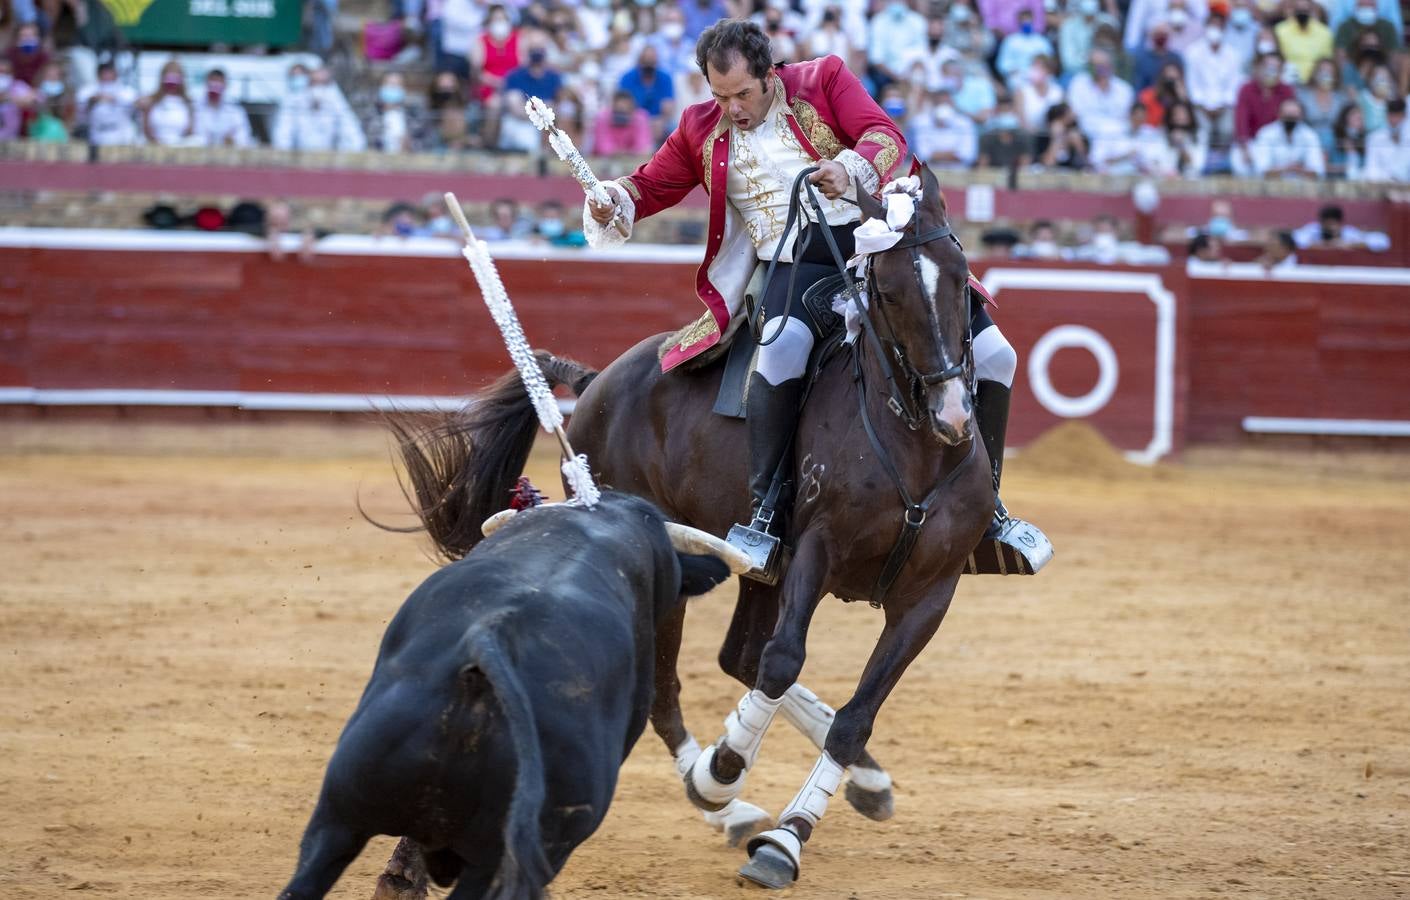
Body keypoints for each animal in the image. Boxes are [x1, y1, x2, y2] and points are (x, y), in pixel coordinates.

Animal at [380, 167, 987, 897]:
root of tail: (599, 384)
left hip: (760, 570)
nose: (953, 414)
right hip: (668, 567)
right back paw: (721, 798)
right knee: (674, 691)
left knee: (740, 658)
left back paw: (854, 781)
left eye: (961, 278)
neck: (915, 450)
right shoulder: (815, 553)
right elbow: (782, 661)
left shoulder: (931, 594)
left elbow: (852, 714)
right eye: (889, 292)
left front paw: (789, 836)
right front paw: (727, 772)